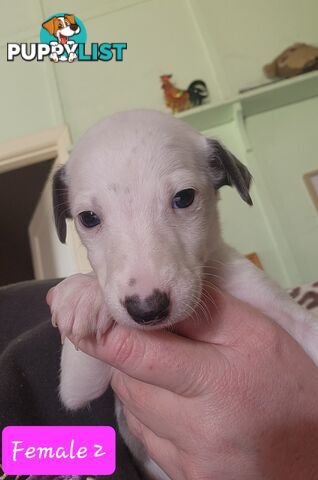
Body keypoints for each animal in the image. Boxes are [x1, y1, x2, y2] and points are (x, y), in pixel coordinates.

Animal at [50, 109, 318, 480]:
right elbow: (78, 379)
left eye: (184, 198)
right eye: (89, 218)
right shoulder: (81, 385)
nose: (148, 308)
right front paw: (84, 292)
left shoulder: (278, 308)